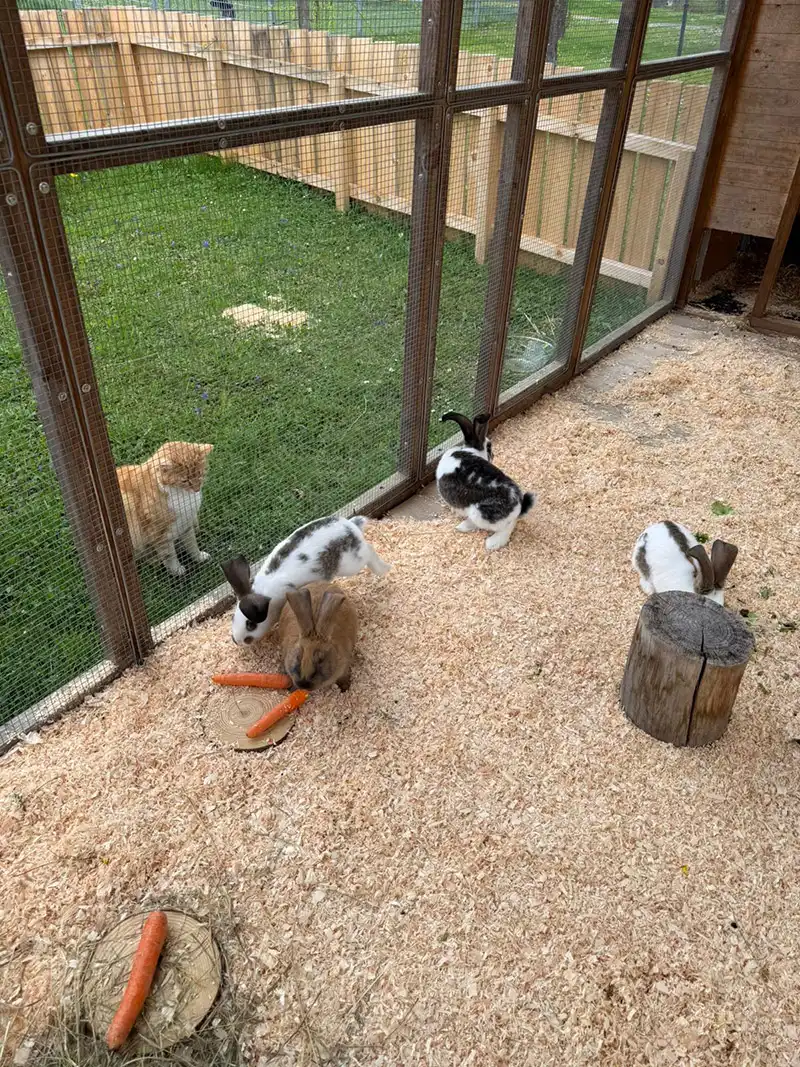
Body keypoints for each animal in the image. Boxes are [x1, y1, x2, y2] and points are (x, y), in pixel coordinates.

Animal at [221, 514, 390, 647]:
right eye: (233, 617)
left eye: (251, 625)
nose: (237, 641)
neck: (266, 595)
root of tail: (352, 527)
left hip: (353, 563)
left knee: (370, 550)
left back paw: (385, 569)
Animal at [435, 410, 535, 552]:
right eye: (489, 447)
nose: (493, 455)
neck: (471, 450)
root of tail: (518, 507)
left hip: (479, 514)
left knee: (506, 529)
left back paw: (489, 542)